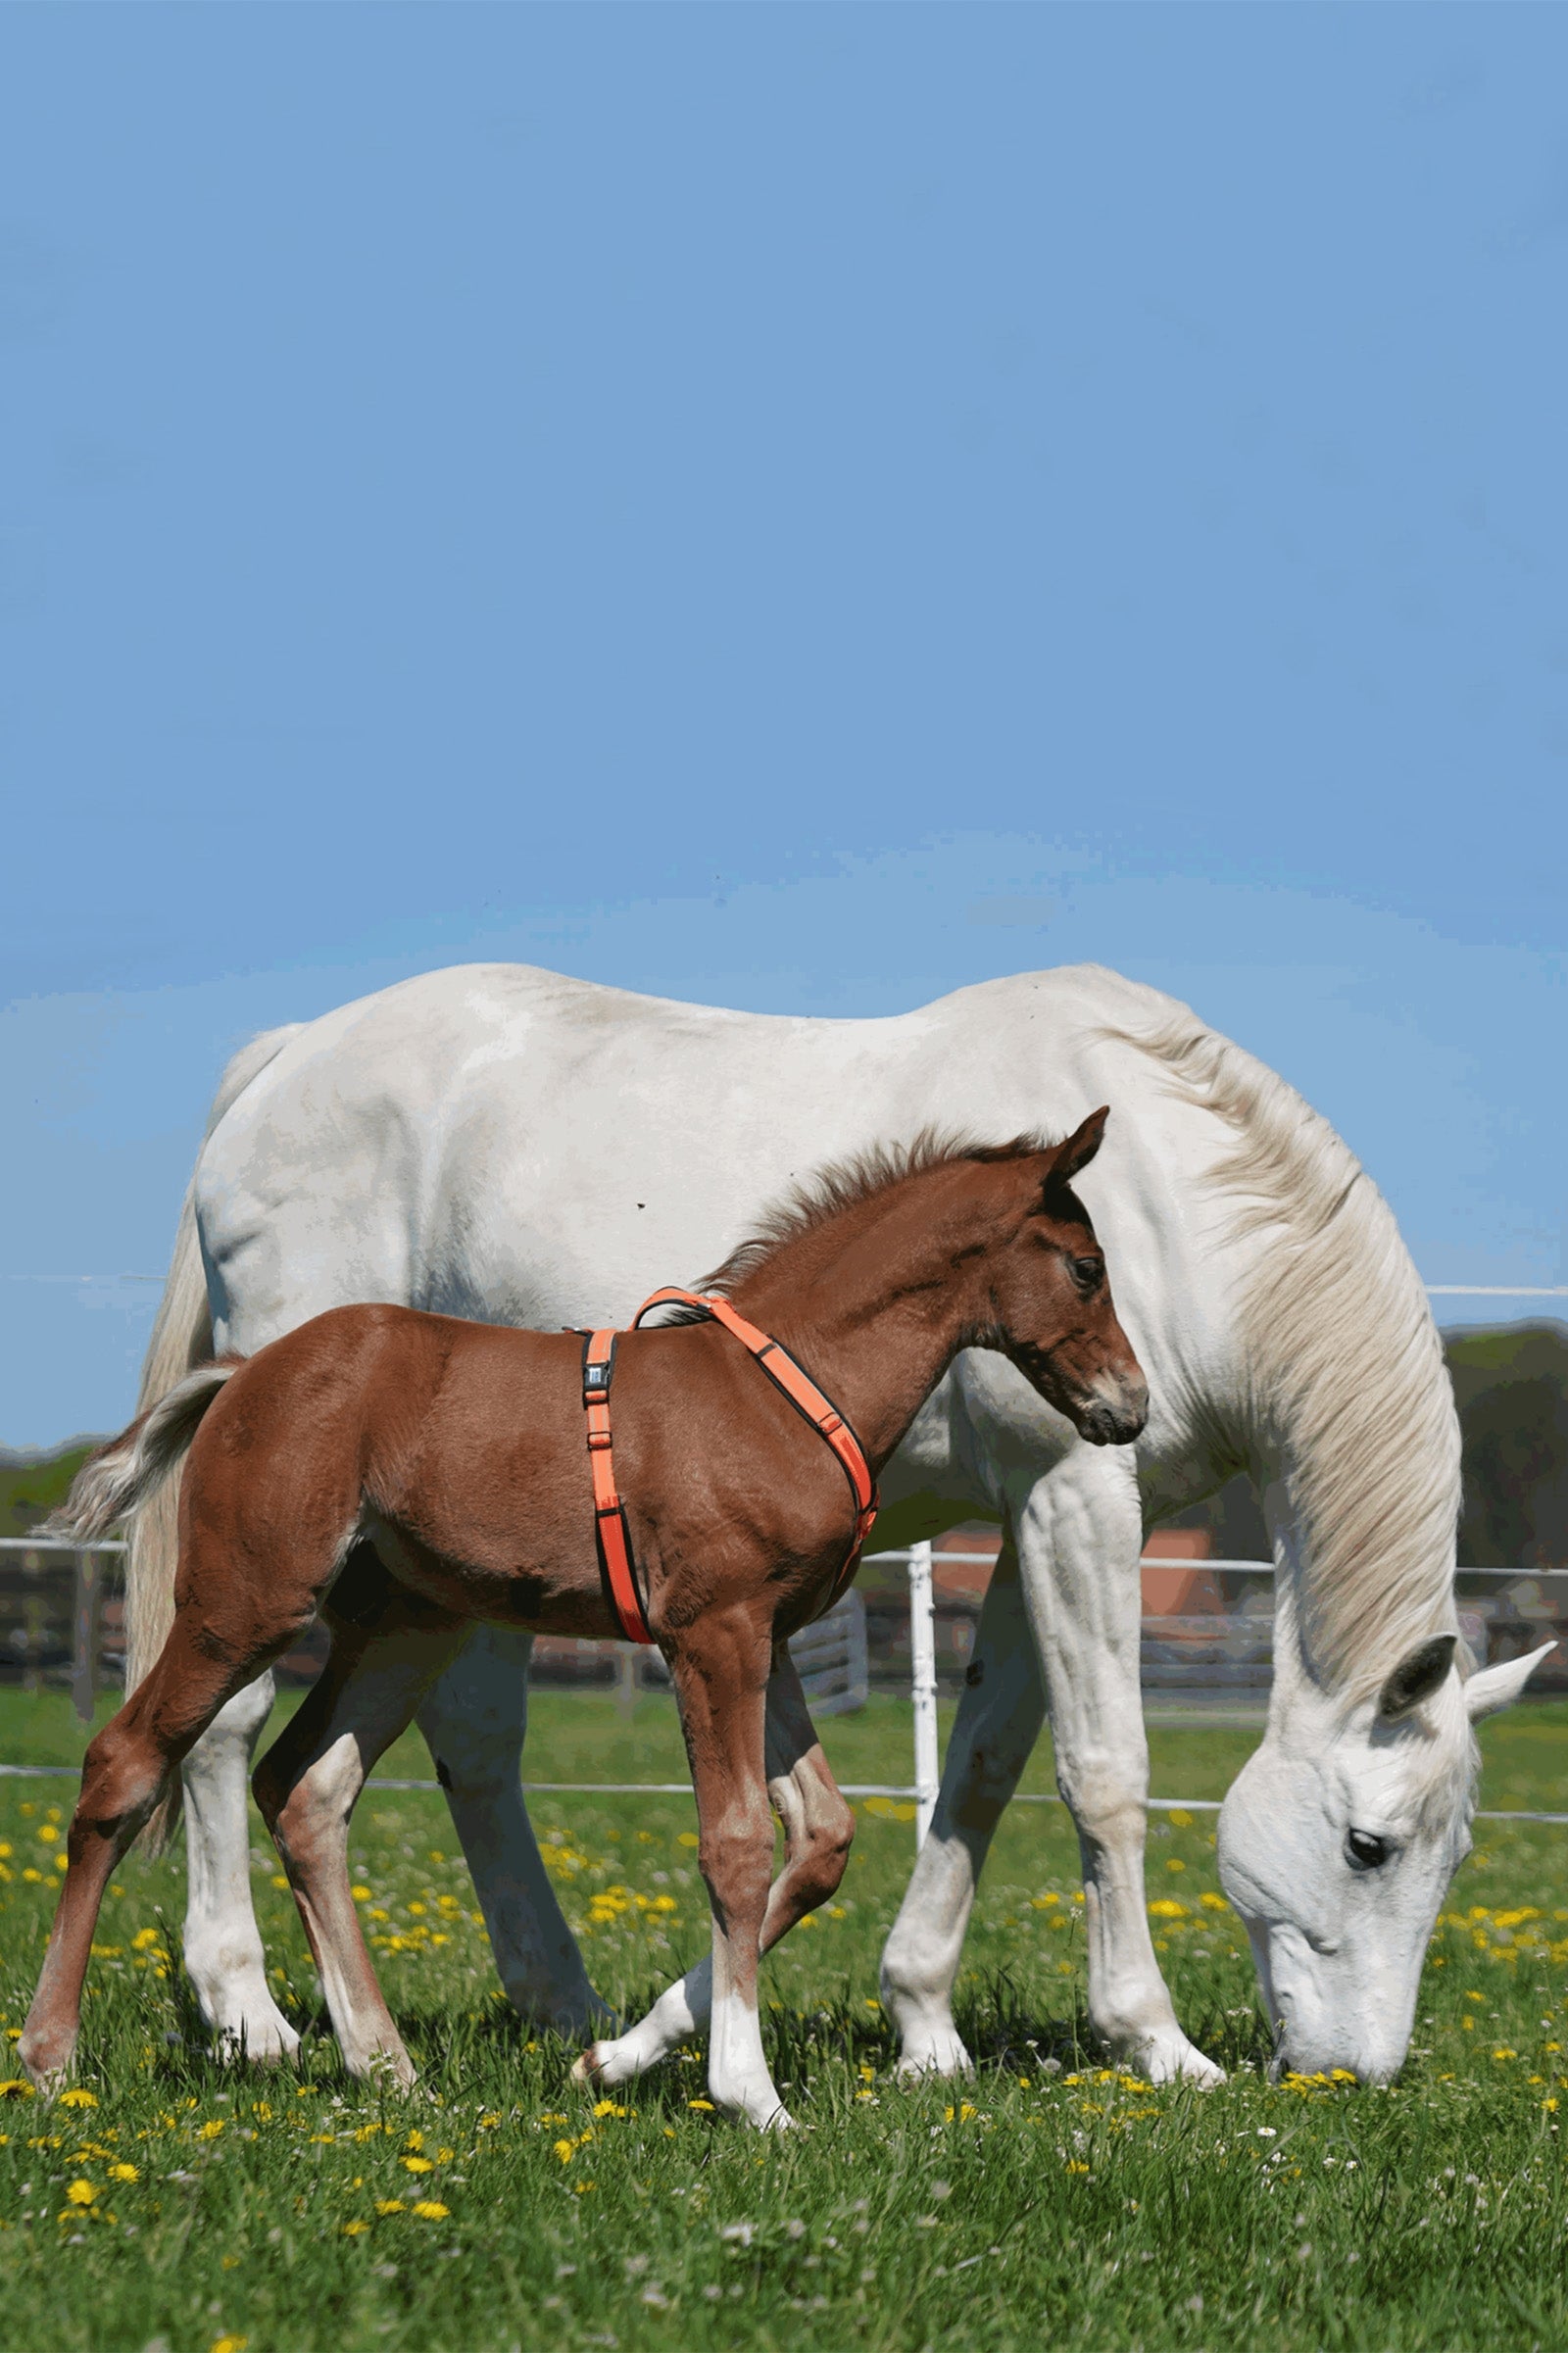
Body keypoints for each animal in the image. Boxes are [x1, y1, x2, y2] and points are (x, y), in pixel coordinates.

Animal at [24, 1118, 1146, 2127]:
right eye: (1087, 1267)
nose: (1129, 1406)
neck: (784, 1388)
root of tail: (243, 1372)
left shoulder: (765, 1636)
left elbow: (820, 1838)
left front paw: (614, 2056)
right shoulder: (711, 1635)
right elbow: (736, 1844)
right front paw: (750, 2094)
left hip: (405, 1625)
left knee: (306, 1790)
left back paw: (385, 2065)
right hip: (246, 1602)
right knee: (126, 1762)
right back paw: (50, 2055)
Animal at [120, 960, 1551, 2087]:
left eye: (1456, 1856)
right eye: (1367, 1845)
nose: (1353, 2075)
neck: (1175, 1207)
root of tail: (285, 1058)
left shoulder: (1032, 1524)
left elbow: (978, 1770)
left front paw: (911, 2028)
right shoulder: (1077, 1499)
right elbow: (1104, 1776)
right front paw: (1155, 2041)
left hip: (454, 1571)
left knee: (470, 1743)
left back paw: (559, 2004)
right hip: (296, 1558)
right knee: (222, 1729)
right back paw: (249, 2017)